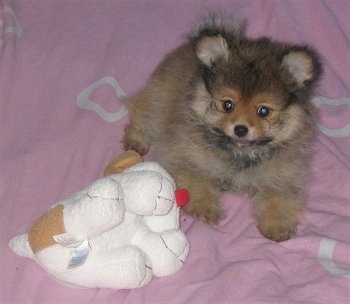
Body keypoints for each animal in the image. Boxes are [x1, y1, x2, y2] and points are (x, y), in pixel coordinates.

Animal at [123, 14, 322, 242]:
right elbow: (198, 182)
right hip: (159, 101)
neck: (240, 152)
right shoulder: (187, 159)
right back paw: (136, 142)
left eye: (263, 111)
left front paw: (277, 226)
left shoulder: (283, 176)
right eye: (228, 105)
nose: (240, 129)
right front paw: (206, 208)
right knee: (142, 112)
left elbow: (279, 199)